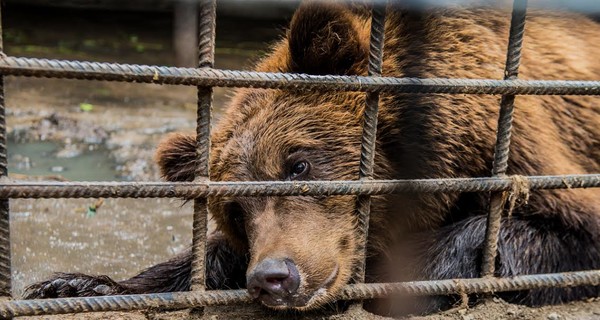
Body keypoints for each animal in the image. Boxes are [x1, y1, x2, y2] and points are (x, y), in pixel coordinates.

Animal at [23, 0, 600, 316]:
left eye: (298, 164)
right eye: (236, 210)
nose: (275, 277)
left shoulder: (522, 149)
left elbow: (557, 233)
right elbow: (205, 259)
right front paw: (73, 284)